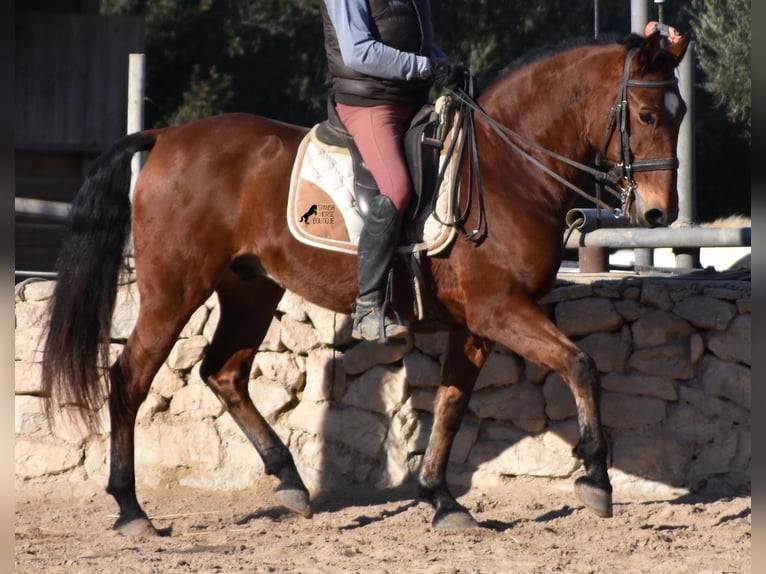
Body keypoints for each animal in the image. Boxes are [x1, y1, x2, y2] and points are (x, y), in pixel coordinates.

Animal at [40, 31, 688, 536]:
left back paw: (289, 482)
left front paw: (440, 498)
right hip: (174, 290)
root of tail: (168, 137)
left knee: (224, 372)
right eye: (647, 116)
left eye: (680, 115)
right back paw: (131, 509)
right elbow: (581, 365)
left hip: (250, 288)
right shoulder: (500, 309)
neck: (508, 172)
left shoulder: (478, 323)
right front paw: (596, 477)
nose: (659, 213)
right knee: (129, 378)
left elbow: (452, 404)